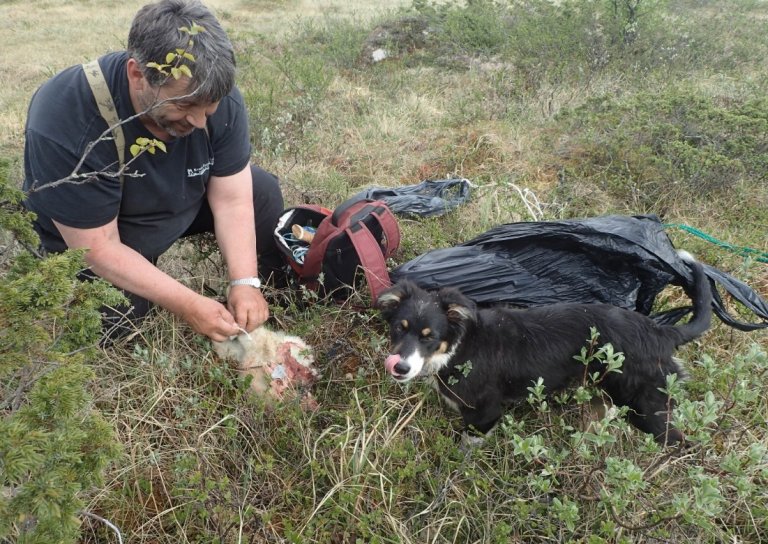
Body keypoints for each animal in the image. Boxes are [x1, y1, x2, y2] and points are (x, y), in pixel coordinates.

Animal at [378, 253, 712, 444]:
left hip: (647, 410)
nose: (400, 368)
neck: (459, 346)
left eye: (429, 336)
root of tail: (661, 332)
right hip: (600, 397)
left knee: (681, 443)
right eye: (399, 328)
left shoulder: (485, 413)